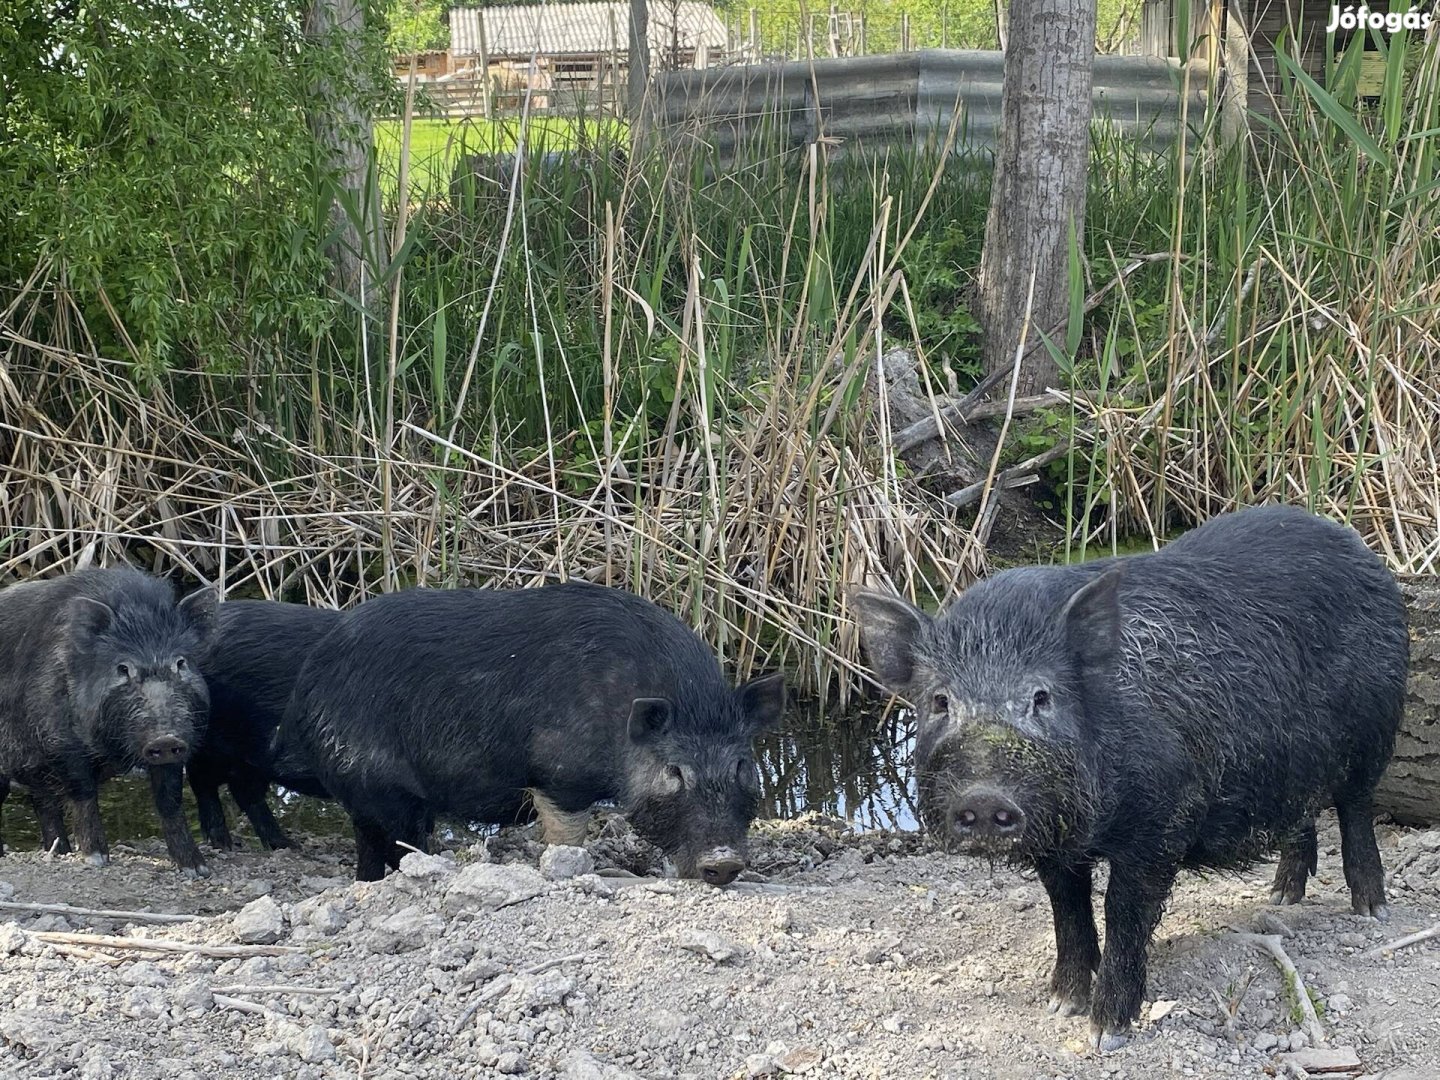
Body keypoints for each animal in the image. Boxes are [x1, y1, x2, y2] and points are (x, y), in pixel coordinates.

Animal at [0, 570, 216, 875]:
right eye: (123, 668)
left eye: (181, 663)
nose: (165, 738)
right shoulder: (62, 743)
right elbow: (83, 793)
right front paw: (96, 858)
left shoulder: (177, 750)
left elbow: (170, 801)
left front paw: (197, 869)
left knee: (44, 804)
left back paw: (59, 850)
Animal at [272, 584, 789, 887]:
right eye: (674, 772)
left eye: (743, 766)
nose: (724, 862)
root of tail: (304, 689)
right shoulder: (558, 776)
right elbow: (565, 836)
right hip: (382, 785)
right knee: (398, 842)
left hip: (367, 793)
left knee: (368, 845)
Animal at [852, 509, 1405, 1059]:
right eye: (940, 701)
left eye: (1042, 697)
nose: (985, 797)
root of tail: (1357, 547)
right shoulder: (1057, 841)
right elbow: (1067, 908)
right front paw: (1061, 1005)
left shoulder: (1162, 821)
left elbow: (1123, 911)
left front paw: (1105, 1033)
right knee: (1303, 812)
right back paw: (1281, 897)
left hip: (1375, 730)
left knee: (1356, 809)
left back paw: (1371, 911)